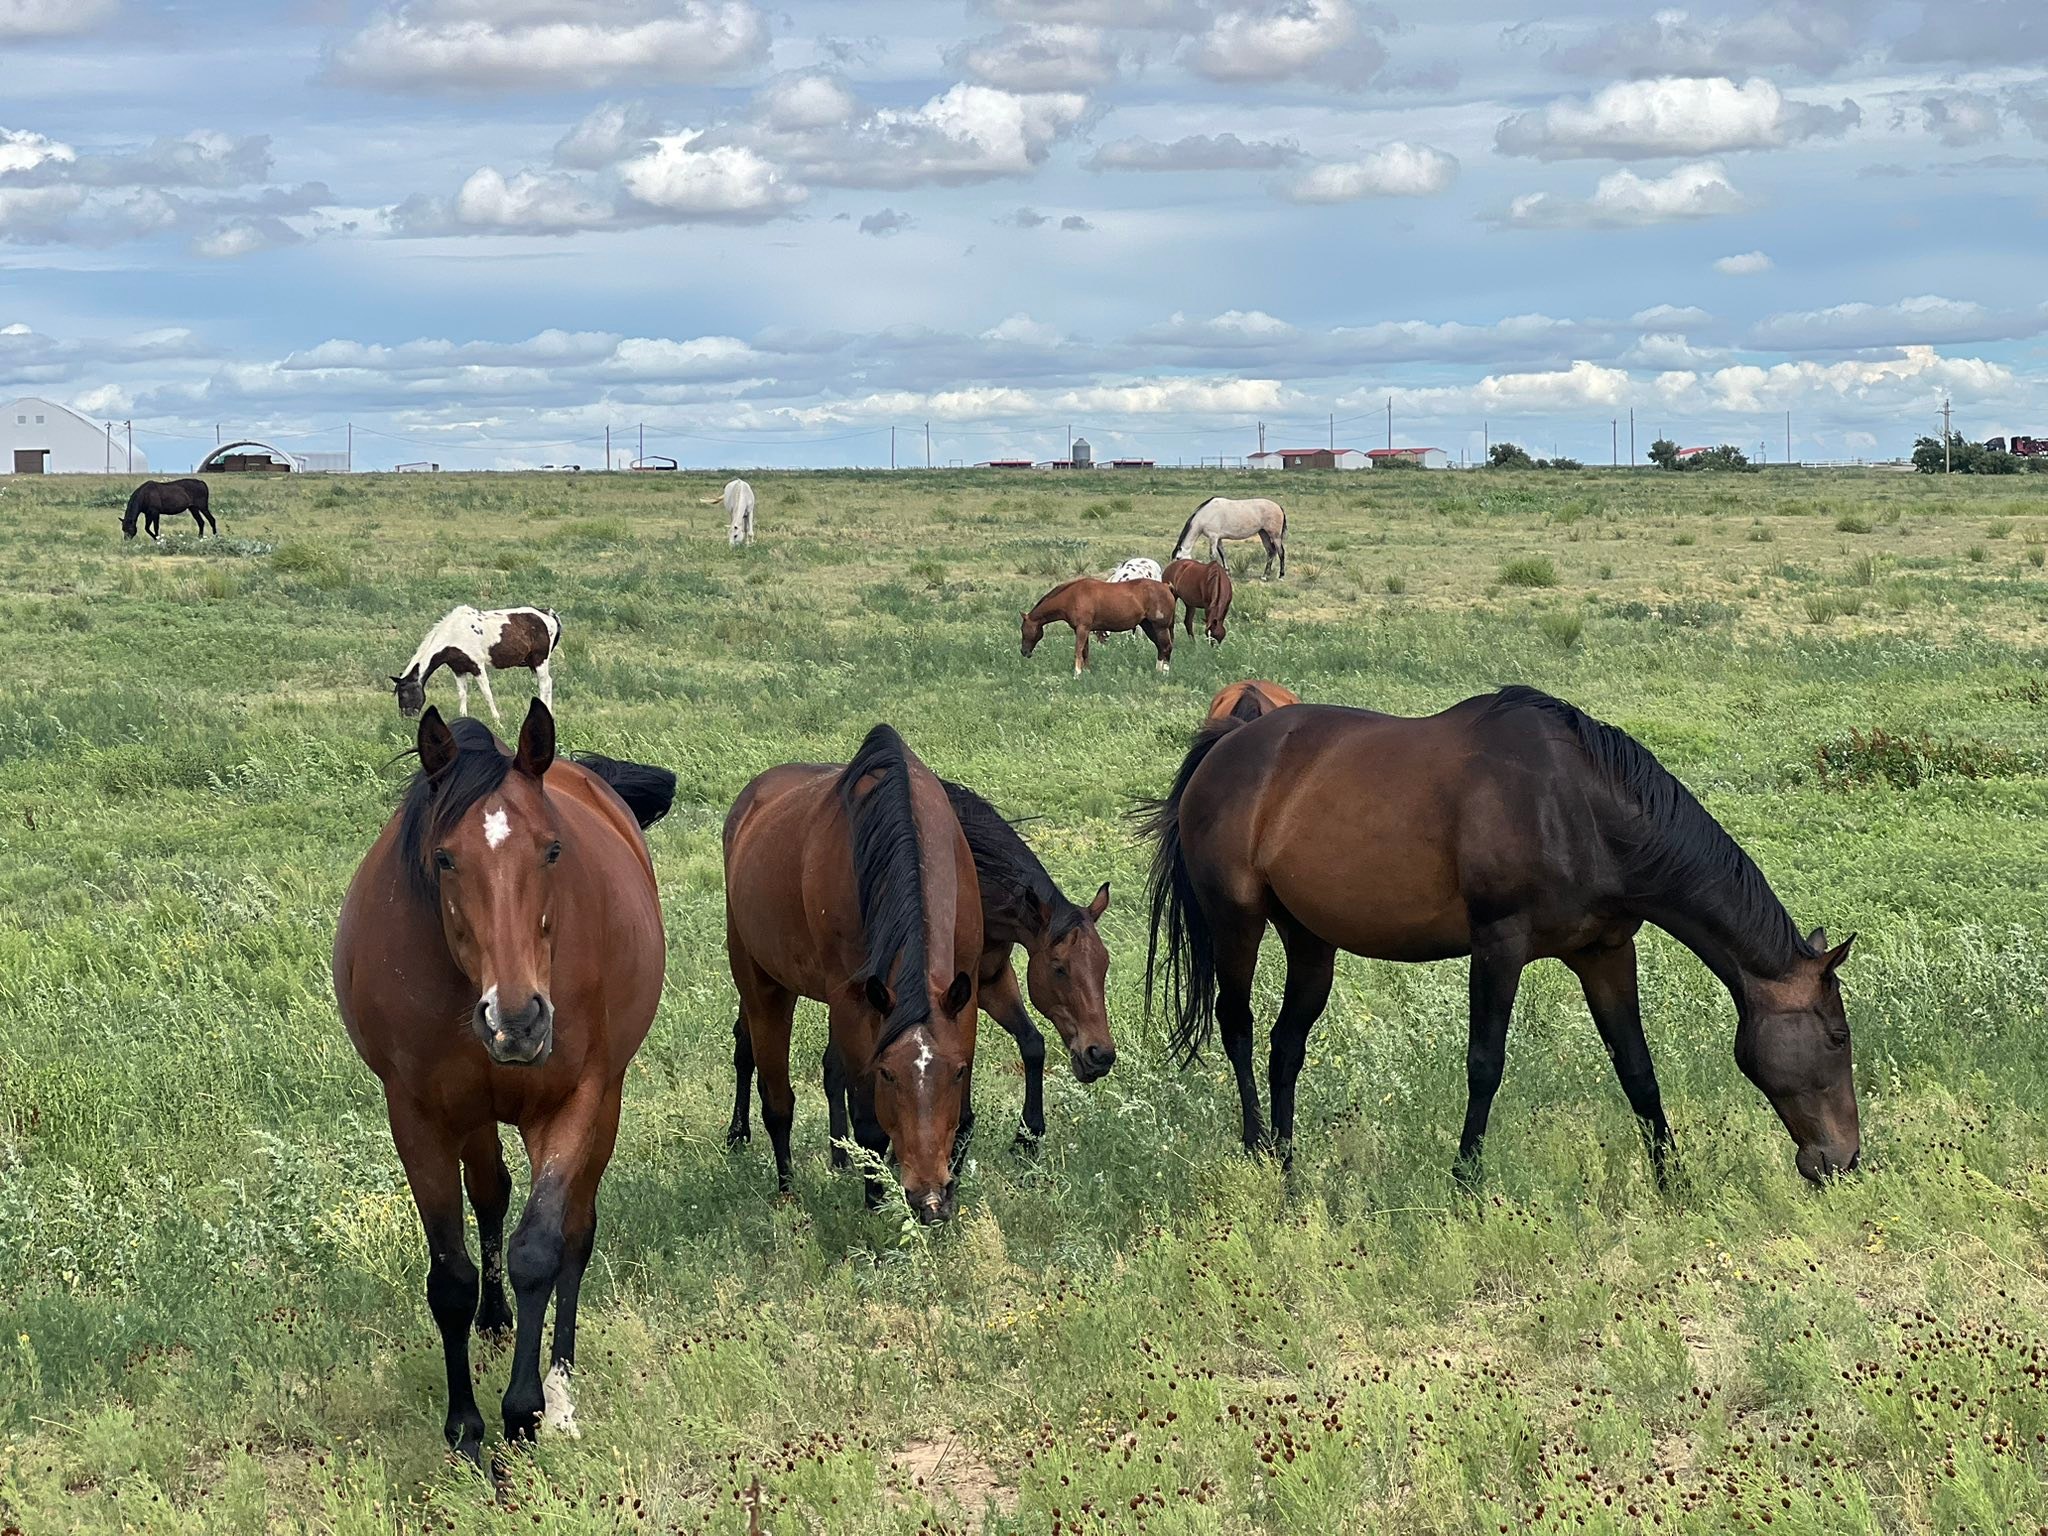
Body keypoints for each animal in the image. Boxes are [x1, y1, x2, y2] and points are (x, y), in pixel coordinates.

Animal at [333, 701, 669, 1469]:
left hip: (606, 1100)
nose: (517, 1020)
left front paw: (522, 1414)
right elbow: (451, 1276)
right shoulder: (419, 1115)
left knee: (577, 1230)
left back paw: (562, 1387)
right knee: (490, 1193)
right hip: (475, 1114)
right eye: (445, 858)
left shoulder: (575, 1102)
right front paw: (464, 1427)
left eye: (552, 850)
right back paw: (494, 1322)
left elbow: (540, 1250)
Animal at [393, 605, 562, 724]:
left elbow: (487, 694)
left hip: (540, 660)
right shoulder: (458, 669)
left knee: (545, 684)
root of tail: (548, 614)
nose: (406, 718)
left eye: (404, 693)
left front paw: (497, 722)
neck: (455, 634)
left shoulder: (477, 667)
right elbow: (462, 694)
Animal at [722, 724, 981, 1222]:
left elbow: (962, 1117)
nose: (929, 1198)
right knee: (773, 1091)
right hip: (761, 979)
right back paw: (777, 1175)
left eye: (957, 1073)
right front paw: (877, 1201)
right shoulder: (851, 999)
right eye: (888, 1075)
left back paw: (836, 1154)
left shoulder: (965, 995)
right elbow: (868, 1121)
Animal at [1022, 577, 1175, 676]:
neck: (1072, 596)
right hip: (1148, 626)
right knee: (1160, 648)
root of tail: (1166, 586)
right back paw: (1158, 671)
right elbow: (1085, 652)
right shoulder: (1082, 630)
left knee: (1166, 647)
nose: (1024, 652)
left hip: (1160, 627)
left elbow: (1078, 651)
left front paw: (1077, 674)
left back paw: (1165, 673)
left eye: (1023, 629)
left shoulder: (1082, 629)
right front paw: (1087, 672)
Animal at [1142, 687, 1859, 1187]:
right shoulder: (1498, 946)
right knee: (1236, 1025)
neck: (1580, 809)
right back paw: (1258, 1149)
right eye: (1838, 1037)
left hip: (1311, 941)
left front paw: (1672, 1181)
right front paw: (1465, 1182)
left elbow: (1637, 1068)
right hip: (1237, 921)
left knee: (1285, 1046)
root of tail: (1226, 747)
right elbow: (1485, 1064)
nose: (1845, 1158)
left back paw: (1291, 1168)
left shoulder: (1604, 952)